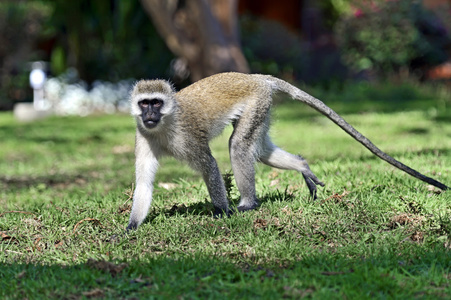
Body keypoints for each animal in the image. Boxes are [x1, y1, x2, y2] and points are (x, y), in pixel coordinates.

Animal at [126, 72, 448, 230]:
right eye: (144, 104)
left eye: (156, 102)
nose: (149, 114)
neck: (163, 124)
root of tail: (253, 76)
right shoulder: (142, 135)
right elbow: (144, 182)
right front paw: (132, 226)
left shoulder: (188, 137)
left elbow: (209, 166)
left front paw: (222, 212)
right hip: (262, 107)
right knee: (261, 150)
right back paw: (302, 166)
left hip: (257, 101)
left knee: (239, 147)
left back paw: (247, 204)